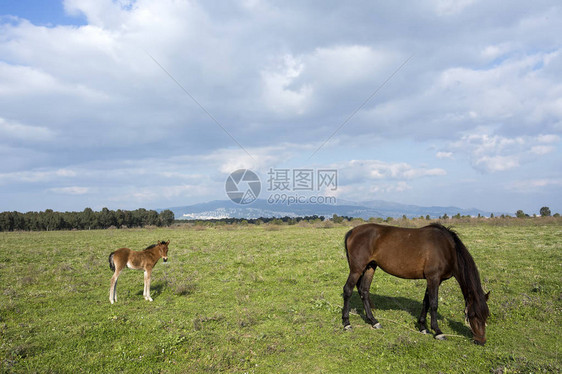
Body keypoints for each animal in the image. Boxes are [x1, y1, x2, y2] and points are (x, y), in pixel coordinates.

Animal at [340, 224, 488, 346]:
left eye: (486, 316)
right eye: (473, 315)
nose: (481, 341)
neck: (447, 248)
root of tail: (353, 231)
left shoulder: (433, 280)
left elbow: (426, 302)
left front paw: (422, 327)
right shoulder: (433, 278)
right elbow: (434, 304)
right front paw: (438, 332)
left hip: (370, 267)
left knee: (364, 291)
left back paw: (374, 321)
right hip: (357, 269)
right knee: (348, 290)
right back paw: (347, 323)